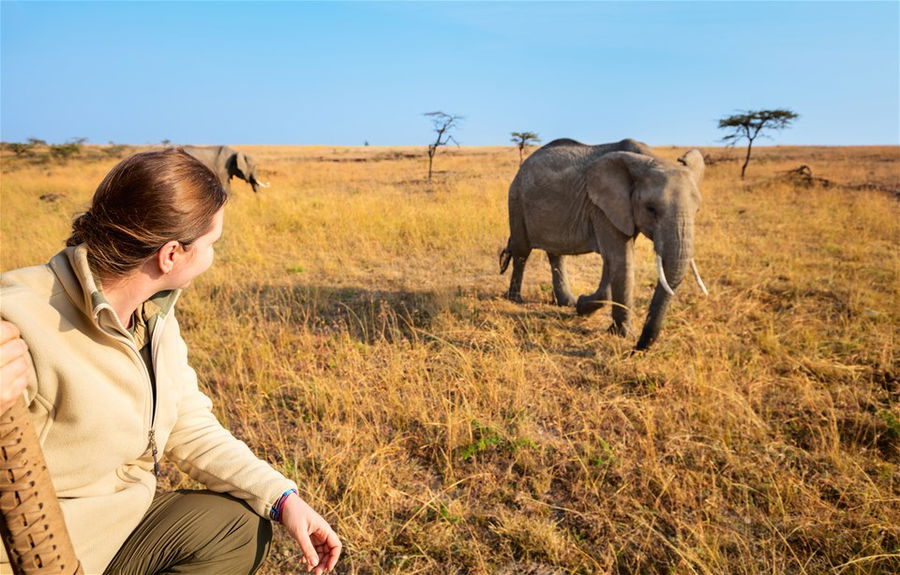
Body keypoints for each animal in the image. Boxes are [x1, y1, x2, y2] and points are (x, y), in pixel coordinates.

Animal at [500, 138, 712, 352]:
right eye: (651, 209)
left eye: (697, 210)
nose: (636, 349)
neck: (649, 158)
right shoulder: (602, 207)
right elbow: (621, 260)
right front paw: (623, 333)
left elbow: (612, 261)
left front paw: (582, 306)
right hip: (516, 198)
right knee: (522, 251)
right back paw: (515, 299)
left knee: (556, 254)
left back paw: (567, 303)